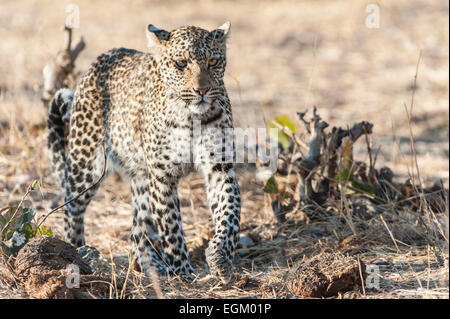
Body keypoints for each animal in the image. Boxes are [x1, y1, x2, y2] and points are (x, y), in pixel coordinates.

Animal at [45, 21, 241, 284]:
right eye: (181, 63)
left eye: (213, 61)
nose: (202, 90)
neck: (192, 118)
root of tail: (105, 56)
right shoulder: (162, 176)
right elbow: (171, 228)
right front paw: (183, 273)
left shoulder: (220, 168)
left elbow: (230, 213)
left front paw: (220, 259)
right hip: (86, 165)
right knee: (71, 209)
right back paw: (77, 253)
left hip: (141, 180)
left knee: (137, 232)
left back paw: (151, 267)